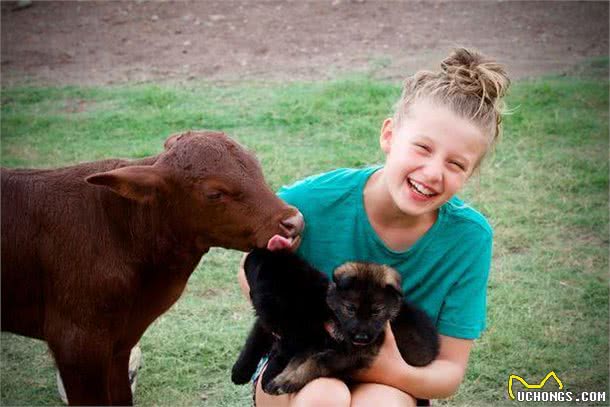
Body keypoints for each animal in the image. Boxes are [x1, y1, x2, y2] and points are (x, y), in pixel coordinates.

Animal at [232, 249, 436, 396]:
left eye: (377, 312)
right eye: (350, 309)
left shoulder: (353, 354)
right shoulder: (307, 340)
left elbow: (316, 361)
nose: (361, 338)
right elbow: (270, 349)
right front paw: (268, 376)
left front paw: (286, 381)